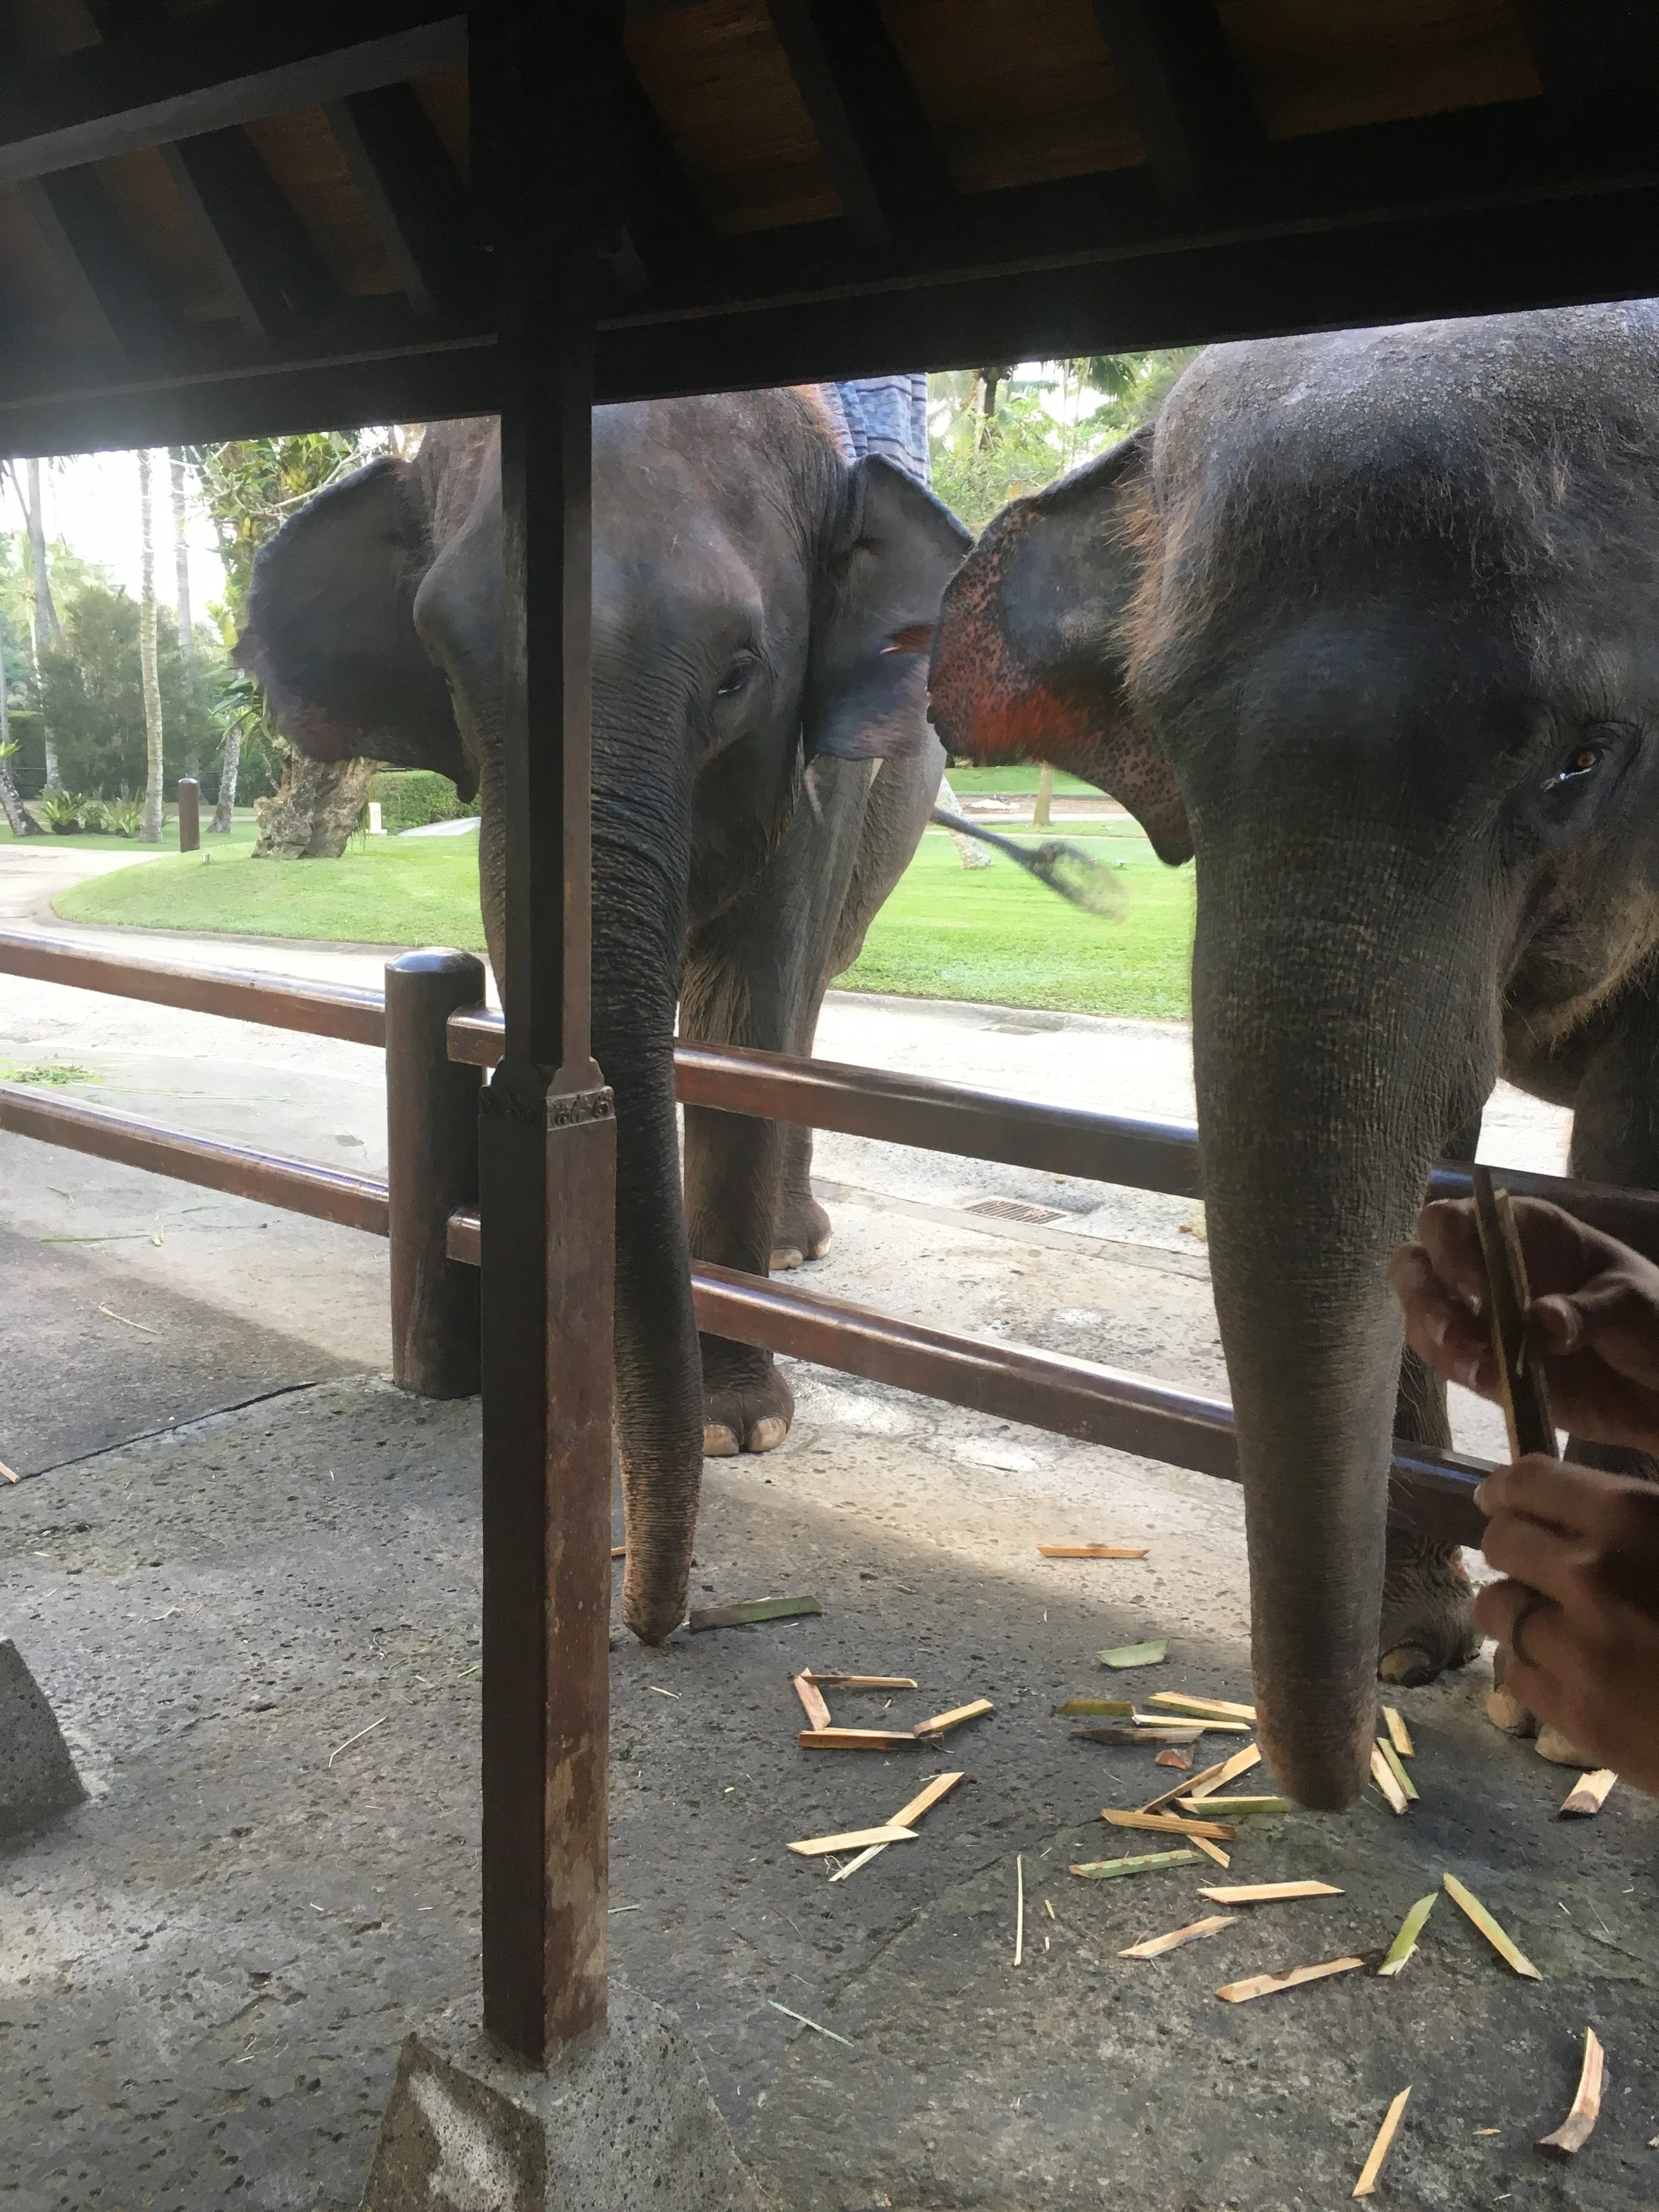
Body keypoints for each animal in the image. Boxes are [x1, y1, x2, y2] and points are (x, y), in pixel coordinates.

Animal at [235, 390, 970, 1641]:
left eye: (737, 672)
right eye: (448, 663)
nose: (648, 1617)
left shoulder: (819, 773)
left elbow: (753, 1012)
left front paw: (738, 1427)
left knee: (813, 992)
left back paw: (791, 1243)